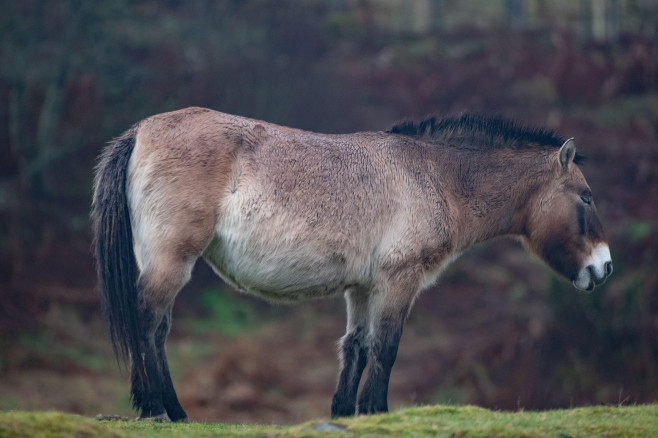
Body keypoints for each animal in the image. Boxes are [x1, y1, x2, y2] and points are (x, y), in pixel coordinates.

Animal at [91, 106, 608, 420]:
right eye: (585, 197)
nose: (603, 268)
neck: (435, 176)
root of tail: (140, 131)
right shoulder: (398, 281)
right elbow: (386, 347)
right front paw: (377, 411)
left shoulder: (362, 288)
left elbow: (355, 347)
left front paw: (344, 413)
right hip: (172, 259)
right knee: (149, 322)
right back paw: (161, 409)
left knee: (154, 326)